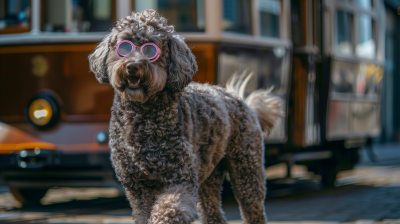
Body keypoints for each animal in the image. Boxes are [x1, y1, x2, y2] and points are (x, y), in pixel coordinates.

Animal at [88, 9, 282, 224]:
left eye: (151, 50)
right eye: (124, 47)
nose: (132, 66)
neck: (142, 115)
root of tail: (241, 99)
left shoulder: (181, 179)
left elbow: (168, 209)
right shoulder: (138, 189)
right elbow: (144, 212)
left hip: (246, 168)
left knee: (253, 207)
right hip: (209, 176)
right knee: (213, 213)